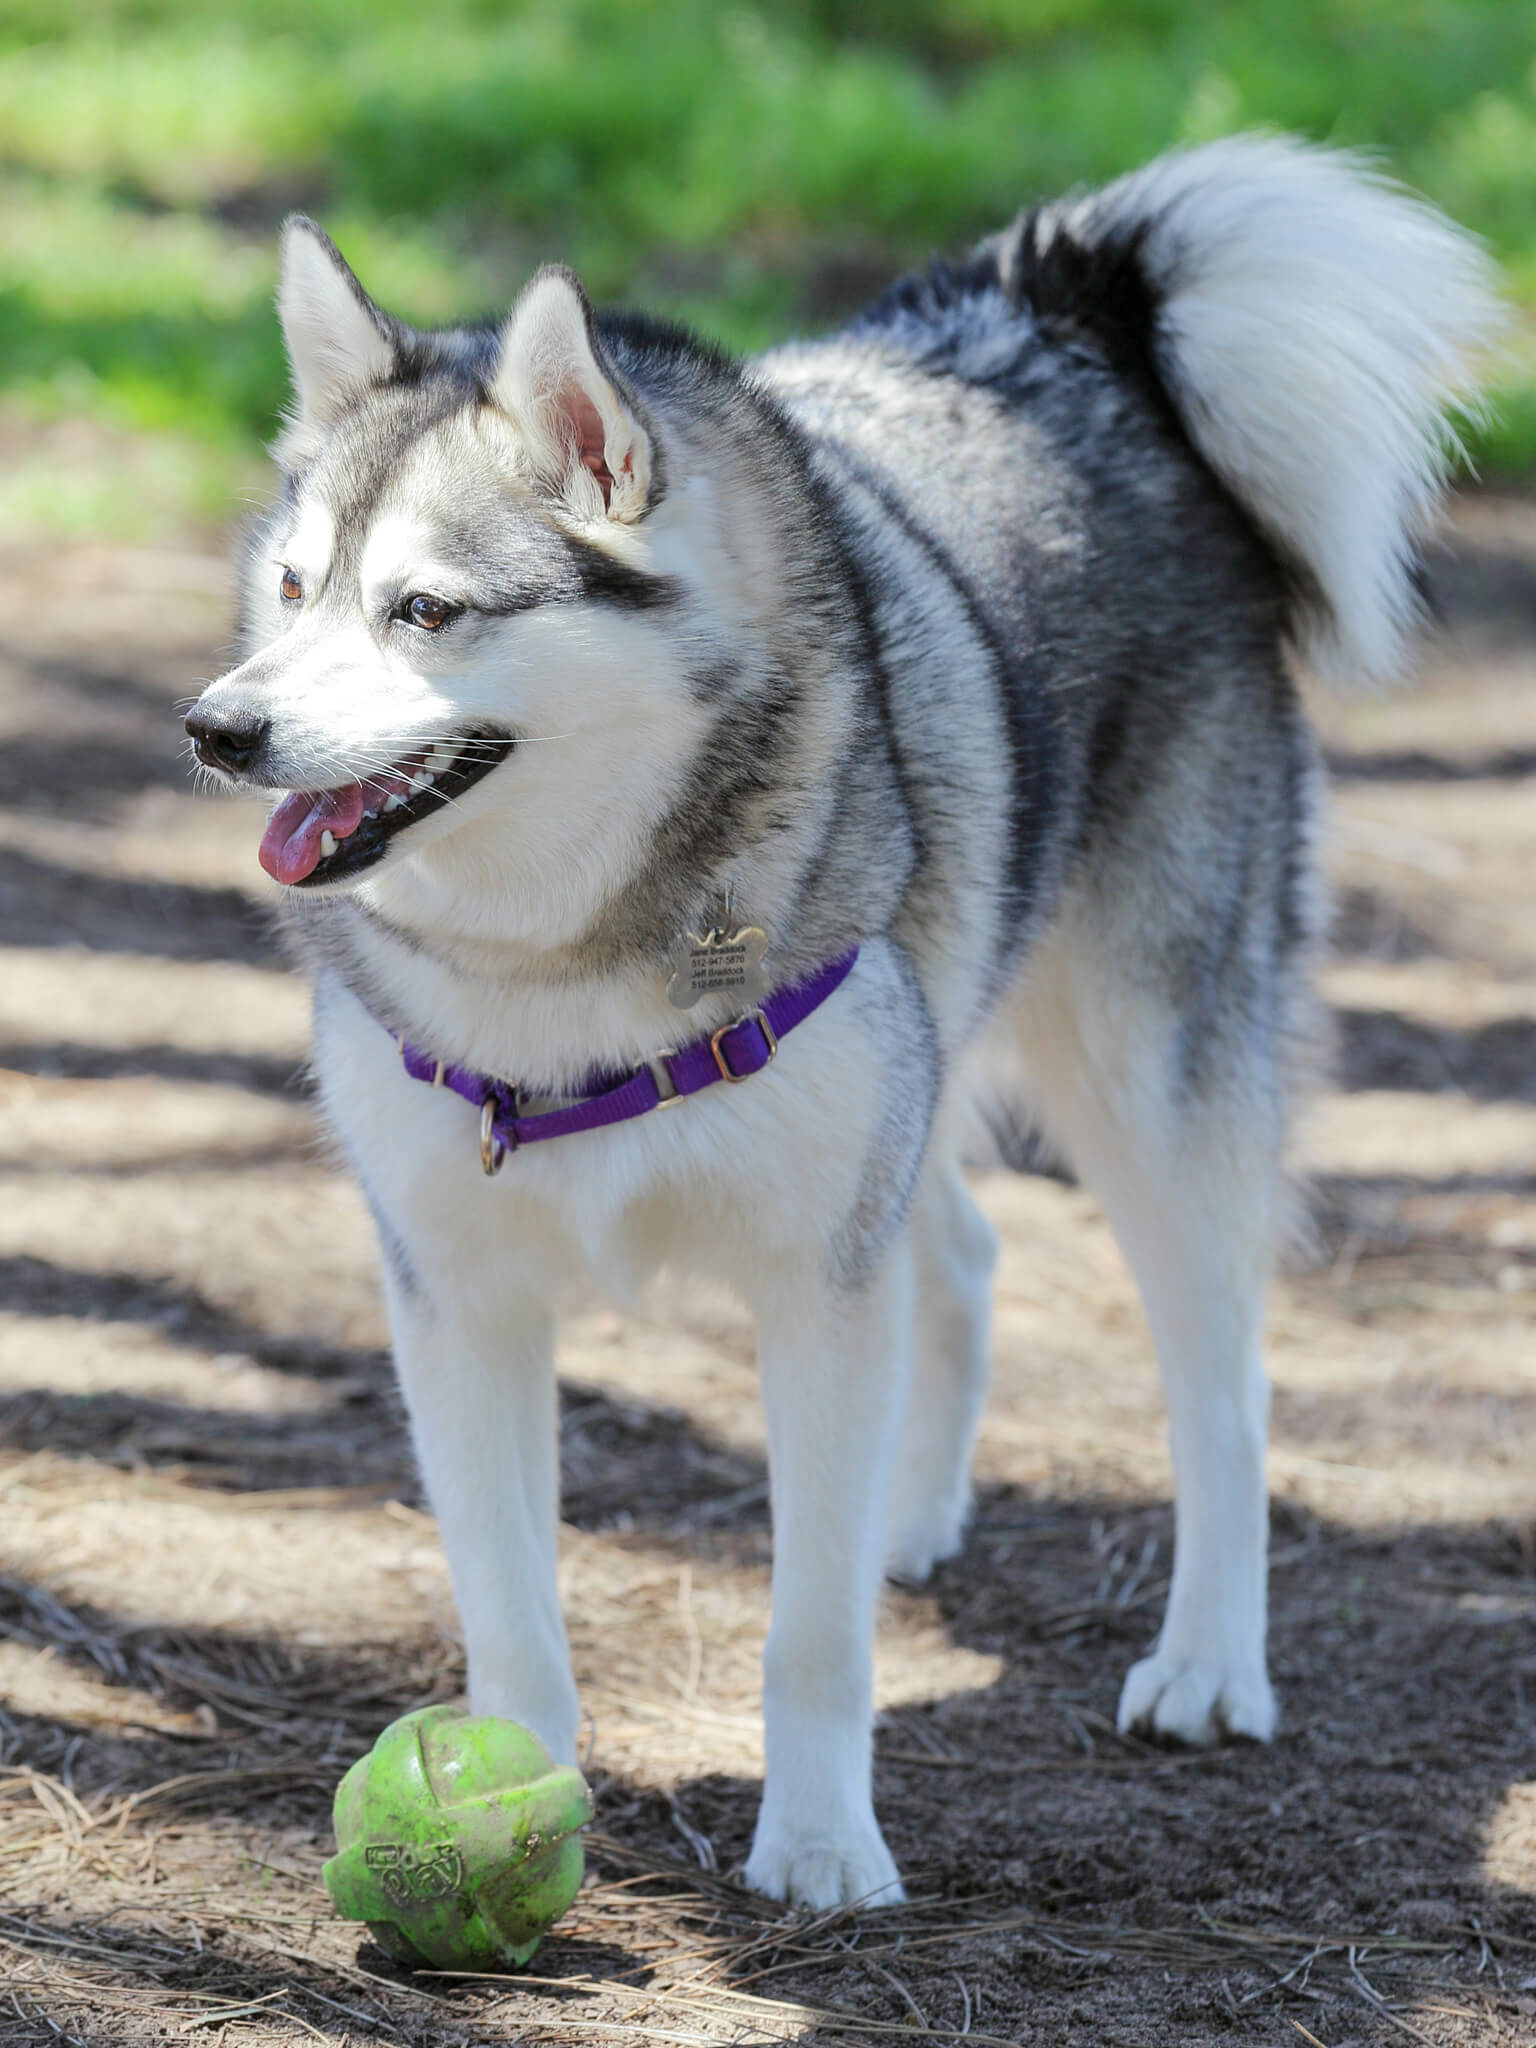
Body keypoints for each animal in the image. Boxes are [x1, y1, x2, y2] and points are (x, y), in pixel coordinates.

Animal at [183, 140, 1507, 1900]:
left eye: (426, 611)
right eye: (291, 587)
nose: (217, 728)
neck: (561, 963)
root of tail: (1049, 323)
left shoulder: (816, 1281)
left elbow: (811, 1638)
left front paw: (818, 1848)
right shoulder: (459, 1303)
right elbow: (512, 1615)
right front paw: (509, 1801)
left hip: (1152, 1089)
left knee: (1224, 1390)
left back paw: (1209, 1662)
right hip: (922, 1080)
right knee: (965, 1257)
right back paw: (906, 1518)